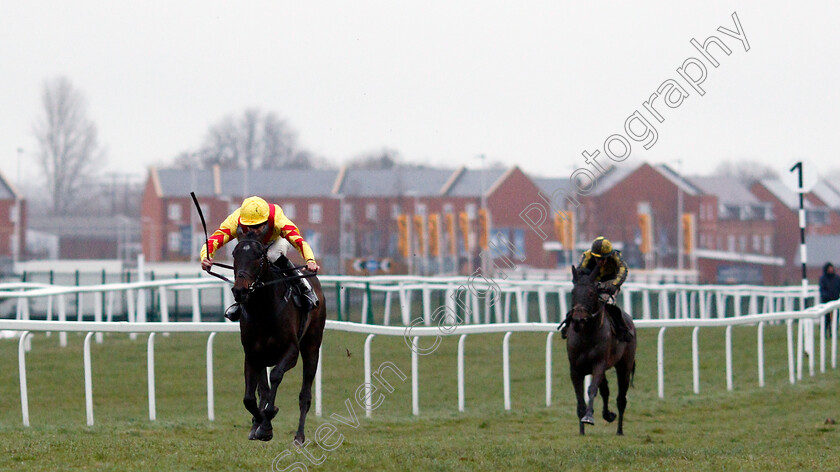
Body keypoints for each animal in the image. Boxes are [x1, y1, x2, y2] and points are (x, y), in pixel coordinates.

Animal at [231, 234, 326, 444]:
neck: (263, 310)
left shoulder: (291, 351)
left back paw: (299, 436)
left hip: (312, 346)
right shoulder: (252, 354)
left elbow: (275, 376)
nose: (240, 291)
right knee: (262, 390)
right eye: (234, 255)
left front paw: (267, 423)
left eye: (259, 257)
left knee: (305, 395)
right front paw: (259, 423)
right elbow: (249, 398)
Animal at [564, 266, 636, 436]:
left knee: (621, 398)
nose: (578, 320)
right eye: (573, 292)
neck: (586, 335)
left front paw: (588, 417)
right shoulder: (575, 368)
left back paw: (619, 430)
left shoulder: (599, 364)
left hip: (624, 366)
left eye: (591, 293)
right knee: (606, 390)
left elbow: (592, 390)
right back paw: (608, 415)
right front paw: (581, 430)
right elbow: (580, 396)